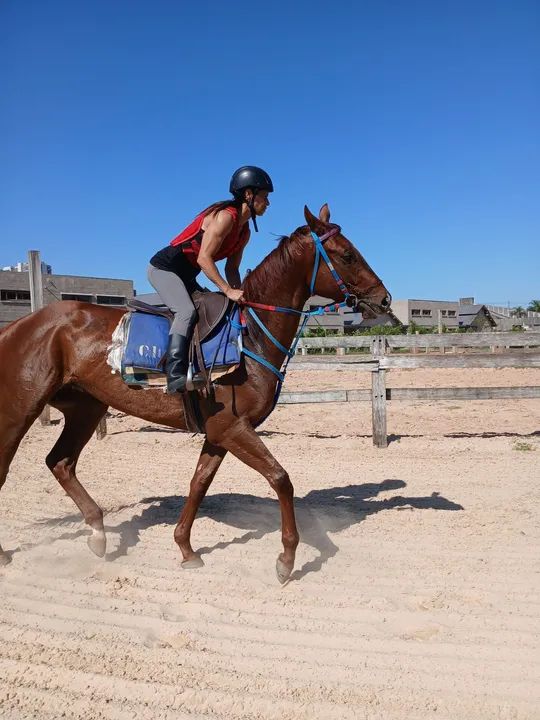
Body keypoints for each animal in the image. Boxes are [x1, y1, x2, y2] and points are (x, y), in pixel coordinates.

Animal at [0, 204, 392, 582]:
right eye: (347, 255)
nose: (384, 299)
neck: (249, 336)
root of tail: (19, 324)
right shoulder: (234, 428)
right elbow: (280, 479)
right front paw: (286, 559)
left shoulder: (219, 431)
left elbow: (199, 482)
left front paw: (185, 548)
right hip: (21, 408)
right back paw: (7, 552)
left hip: (86, 408)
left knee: (61, 462)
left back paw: (98, 532)